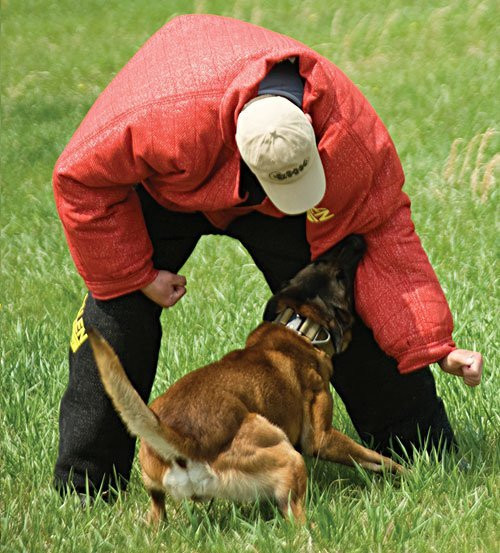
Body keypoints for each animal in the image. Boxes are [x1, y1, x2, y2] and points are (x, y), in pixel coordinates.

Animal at [89, 234, 402, 520]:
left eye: (319, 261)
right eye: (341, 276)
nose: (356, 238)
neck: (299, 325)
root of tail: (184, 442)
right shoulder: (322, 438)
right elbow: (376, 458)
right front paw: (407, 472)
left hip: (156, 497)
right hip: (287, 457)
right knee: (296, 520)